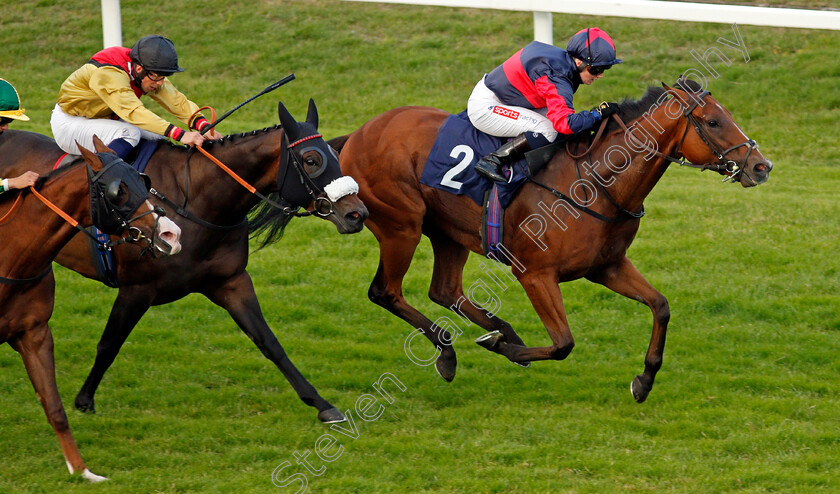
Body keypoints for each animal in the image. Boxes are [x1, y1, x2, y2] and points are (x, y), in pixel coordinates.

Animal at [0, 101, 368, 424]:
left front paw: (321, 404)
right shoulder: (137, 289)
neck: (198, 203)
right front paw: (84, 400)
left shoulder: (230, 281)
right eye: (311, 159)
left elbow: (269, 342)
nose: (357, 214)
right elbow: (108, 345)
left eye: (336, 154)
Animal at [0, 136, 184, 482]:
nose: (171, 233)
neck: (12, 259)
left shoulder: (34, 333)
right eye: (118, 191)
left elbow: (55, 407)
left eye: (143, 180)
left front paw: (83, 471)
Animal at [330, 80, 776, 402]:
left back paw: (498, 332)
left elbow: (661, 306)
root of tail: (361, 132)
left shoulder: (607, 267)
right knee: (385, 291)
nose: (761, 166)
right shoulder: (535, 274)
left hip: (447, 230)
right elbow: (563, 343)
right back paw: (455, 350)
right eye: (714, 122)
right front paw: (507, 351)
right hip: (401, 225)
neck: (596, 183)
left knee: (444, 290)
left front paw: (645, 379)